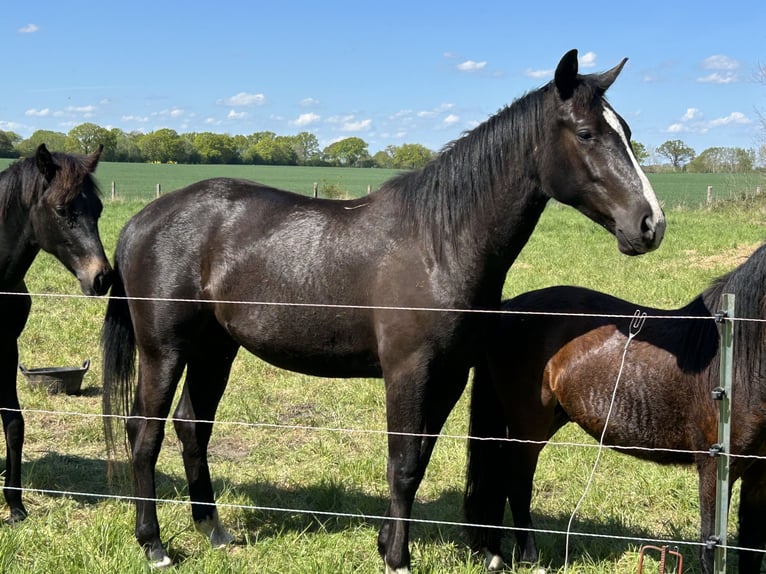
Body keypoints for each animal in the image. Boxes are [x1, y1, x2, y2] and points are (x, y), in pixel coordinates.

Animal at [0, 143, 112, 522]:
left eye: (98, 209)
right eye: (62, 209)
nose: (101, 278)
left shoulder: (7, 348)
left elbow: (14, 423)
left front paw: (15, 505)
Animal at [101, 49, 665, 573]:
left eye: (627, 131)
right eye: (587, 133)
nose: (650, 224)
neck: (438, 243)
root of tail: (142, 220)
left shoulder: (449, 375)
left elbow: (420, 459)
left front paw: (386, 543)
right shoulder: (408, 372)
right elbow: (403, 464)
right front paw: (397, 557)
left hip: (216, 347)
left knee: (192, 427)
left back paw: (214, 532)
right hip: (165, 349)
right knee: (145, 432)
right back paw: (153, 544)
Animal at [463, 242, 766, 574]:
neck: (737, 361)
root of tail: (507, 309)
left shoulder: (758, 475)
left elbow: (752, 544)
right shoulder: (714, 469)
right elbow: (710, 546)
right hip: (528, 425)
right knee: (516, 484)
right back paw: (531, 559)